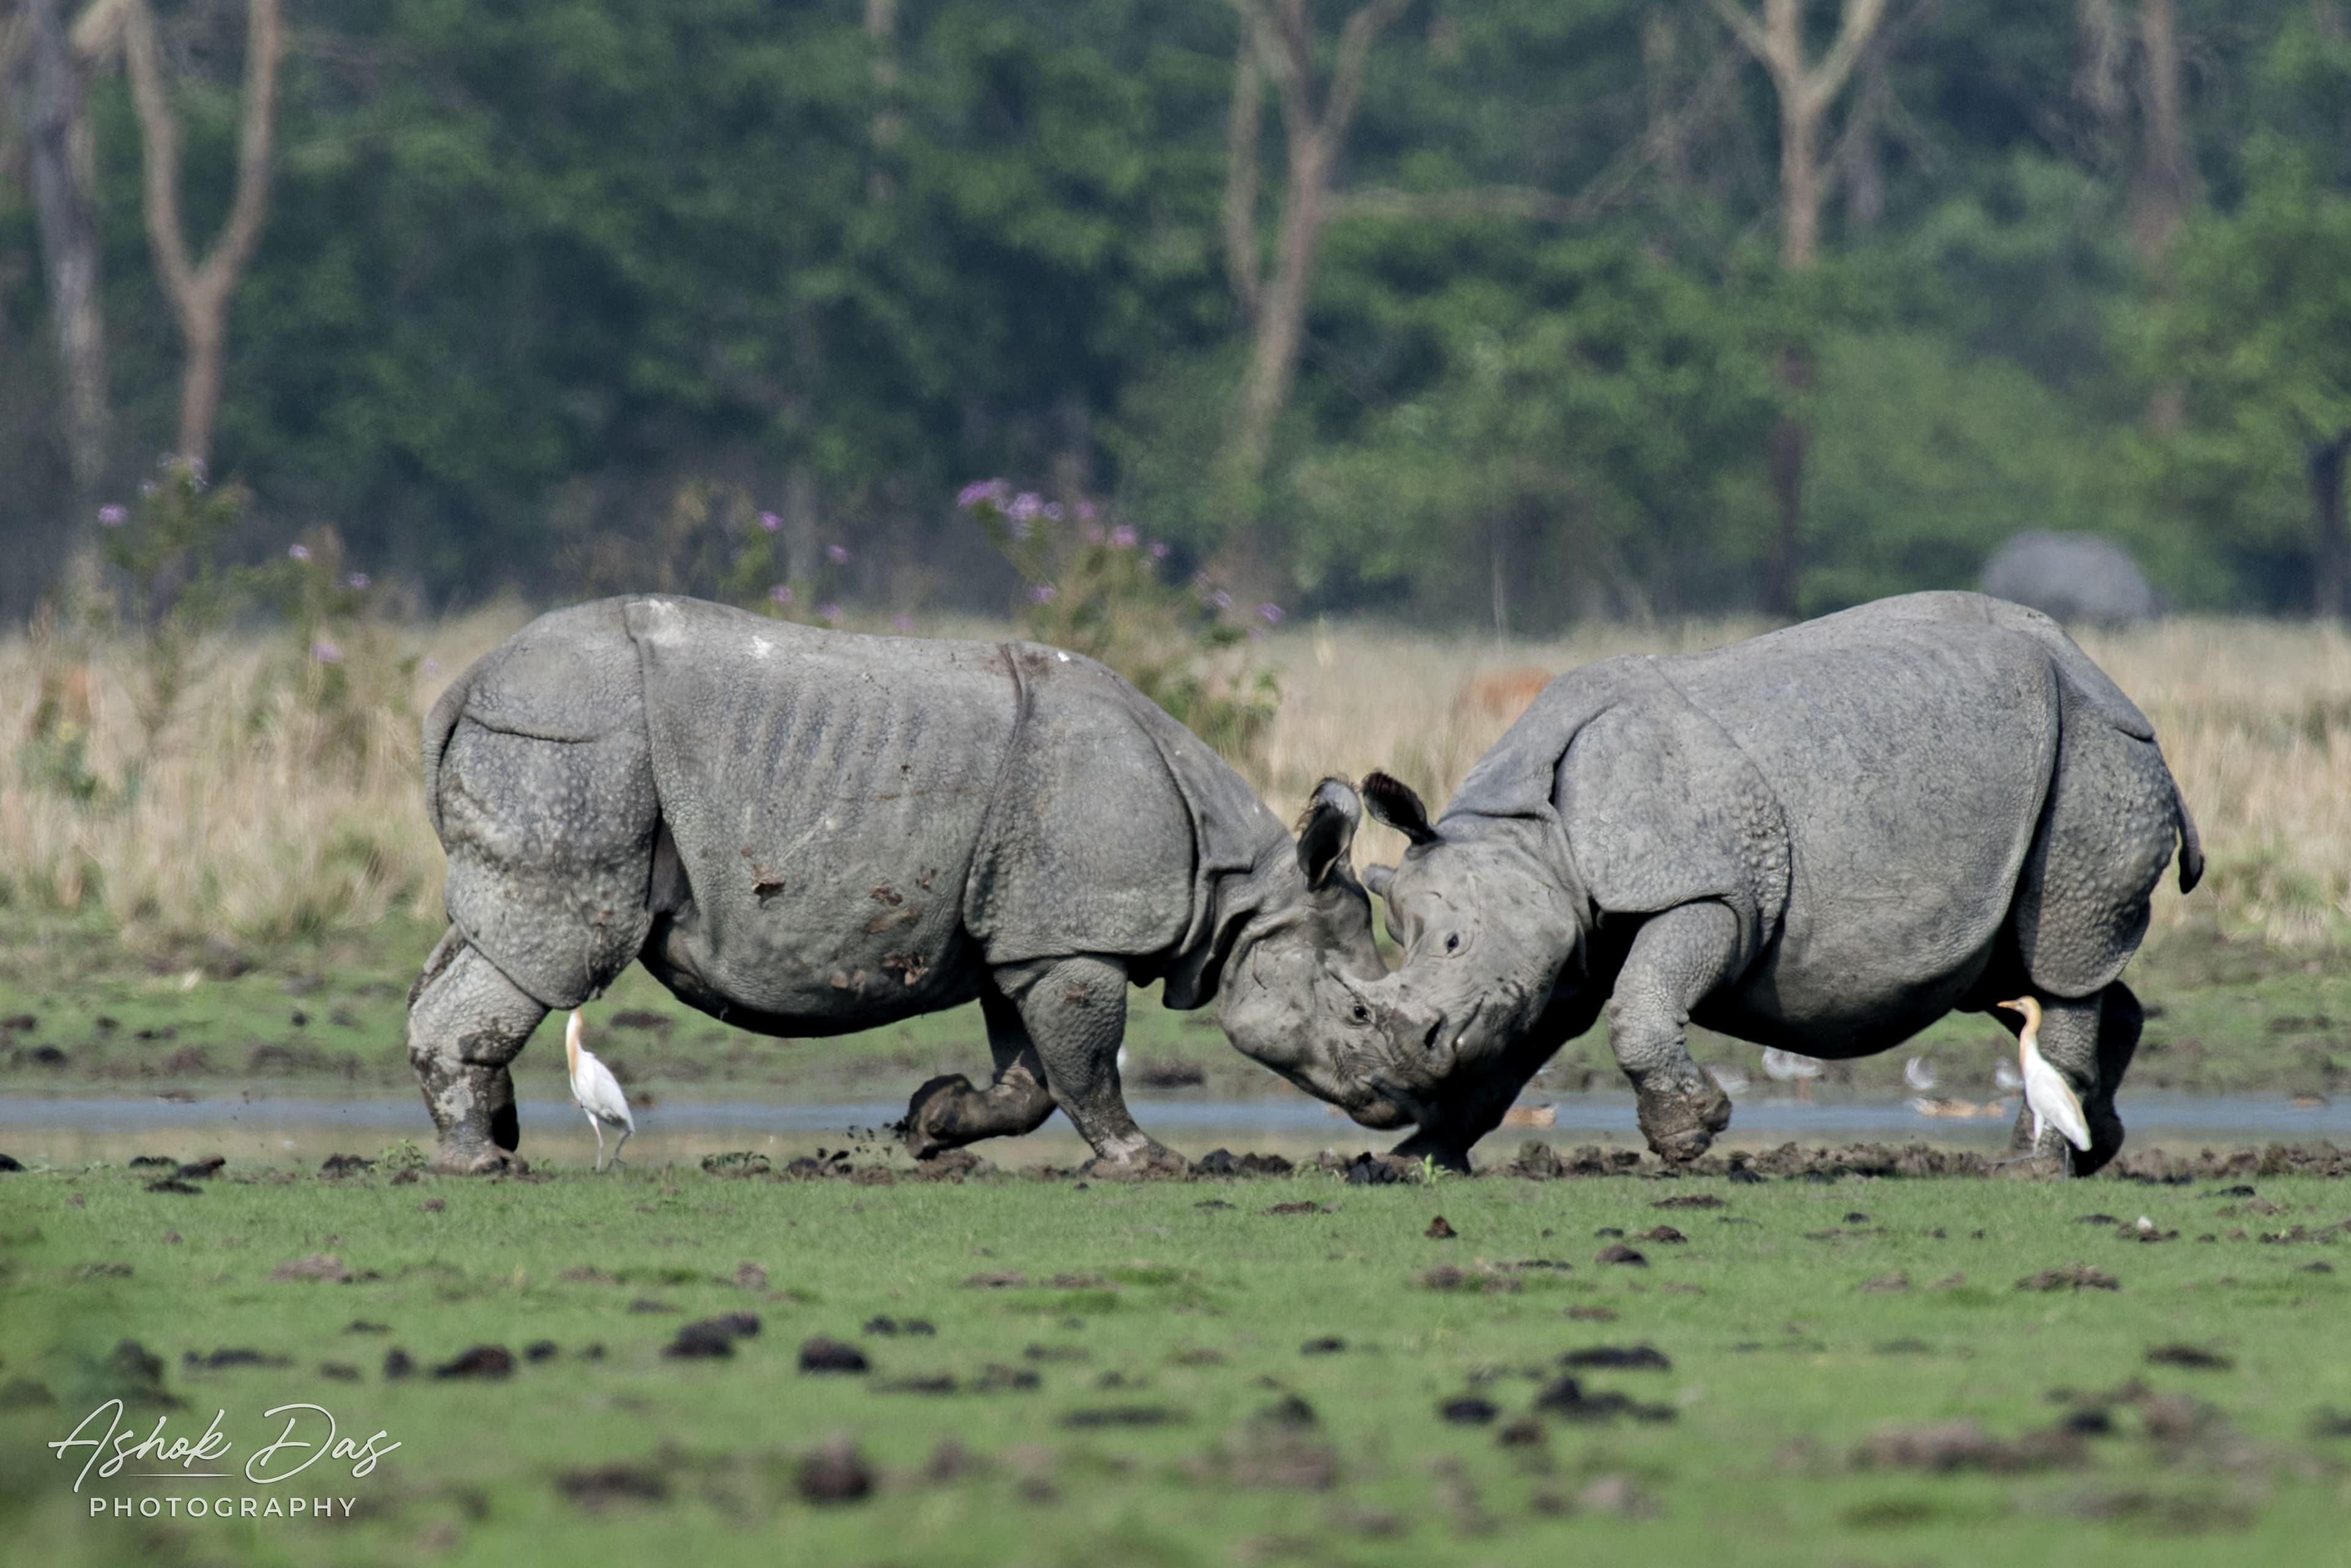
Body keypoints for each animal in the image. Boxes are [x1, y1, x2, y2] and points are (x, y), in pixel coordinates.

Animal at [405, 595, 1386, 1175]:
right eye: (1360, 1011)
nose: (1403, 1097)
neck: (1243, 890)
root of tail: (465, 683)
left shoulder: (1027, 930)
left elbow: (1033, 1076)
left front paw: (933, 1123)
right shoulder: (1074, 936)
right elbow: (1085, 1064)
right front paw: (1148, 1163)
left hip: (542, 747)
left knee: (486, 937)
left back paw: (490, 1138)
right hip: (572, 747)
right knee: (553, 948)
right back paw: (483, 1165)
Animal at [1321, 592, 2203, 1177]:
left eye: (1454, 941)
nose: (1394, 1078)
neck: (1531, 838)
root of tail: (2103, 674)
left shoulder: (1707, 889)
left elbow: (1639, 1007)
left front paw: (1690, 1134)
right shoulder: (1562, 944)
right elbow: (1511, 1056)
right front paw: (1406, 1160)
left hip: (2096, 755)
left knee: (2059, 964)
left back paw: (2030, 1166)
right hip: (2056, 766)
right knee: (2025, 973)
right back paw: (2094, 1148)